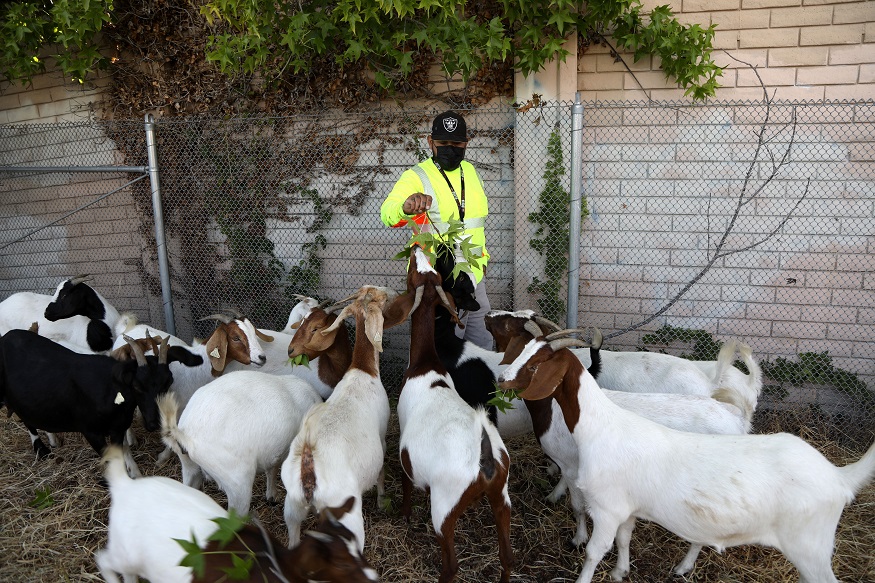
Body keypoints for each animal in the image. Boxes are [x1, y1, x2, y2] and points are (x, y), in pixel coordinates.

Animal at [500, 338, 875, 583]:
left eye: (535, 364)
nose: (501, 380)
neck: (599, 423)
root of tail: (838, 476)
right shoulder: (621, 502)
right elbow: (621, 537)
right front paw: (619, 569)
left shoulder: (597, 495)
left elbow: (589, 534)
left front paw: (578, 543)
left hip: (809, 547)